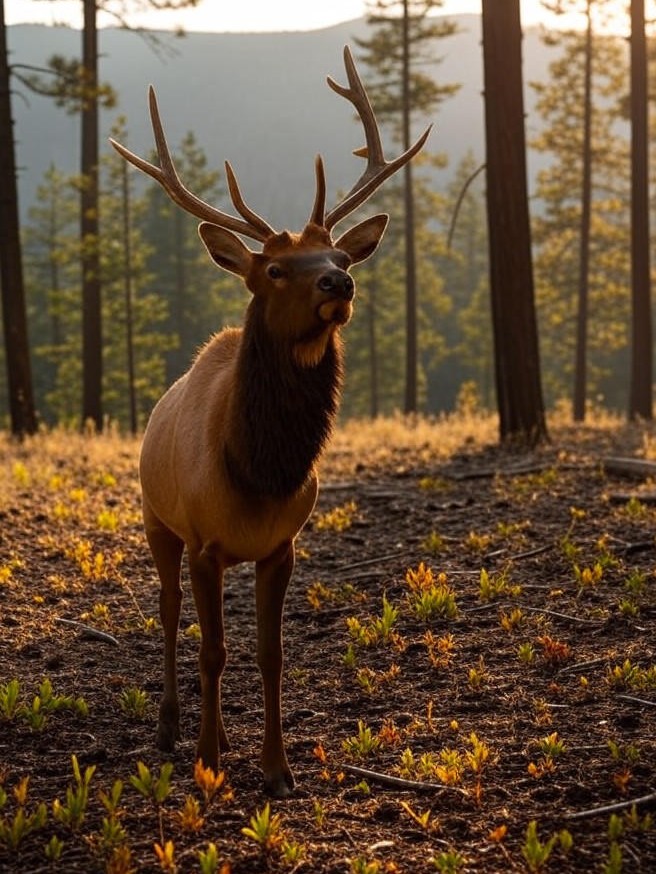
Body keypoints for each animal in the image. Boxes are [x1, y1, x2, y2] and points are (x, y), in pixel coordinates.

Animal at [110, 45, 429, 797]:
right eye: (278, 269)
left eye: (338, 256)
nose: (339, 282)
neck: (257, 471)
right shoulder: (202, 541)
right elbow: (213, 650)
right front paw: (207, 760)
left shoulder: (281, 546)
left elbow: (269, 653)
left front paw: (276, 768)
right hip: (155, 518)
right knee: (169, 615)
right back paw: (171, 729)